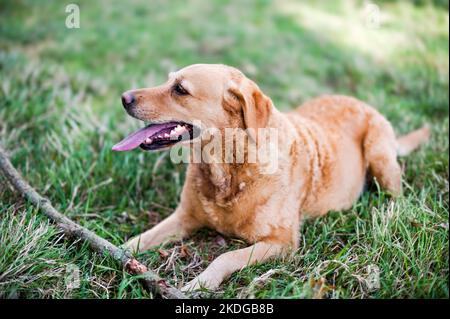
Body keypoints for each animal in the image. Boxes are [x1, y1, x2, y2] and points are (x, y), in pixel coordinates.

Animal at [112, 64, 428, 292]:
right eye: (169, 81)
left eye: (180, 89)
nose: (124, 97)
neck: (228, 170)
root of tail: (360, 100)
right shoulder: (183, 218)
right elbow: (141, 238)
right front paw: (115, 252)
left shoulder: (282, 243)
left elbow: (226, 256)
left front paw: (200, 283)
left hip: (380, 156)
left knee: (397, 196)